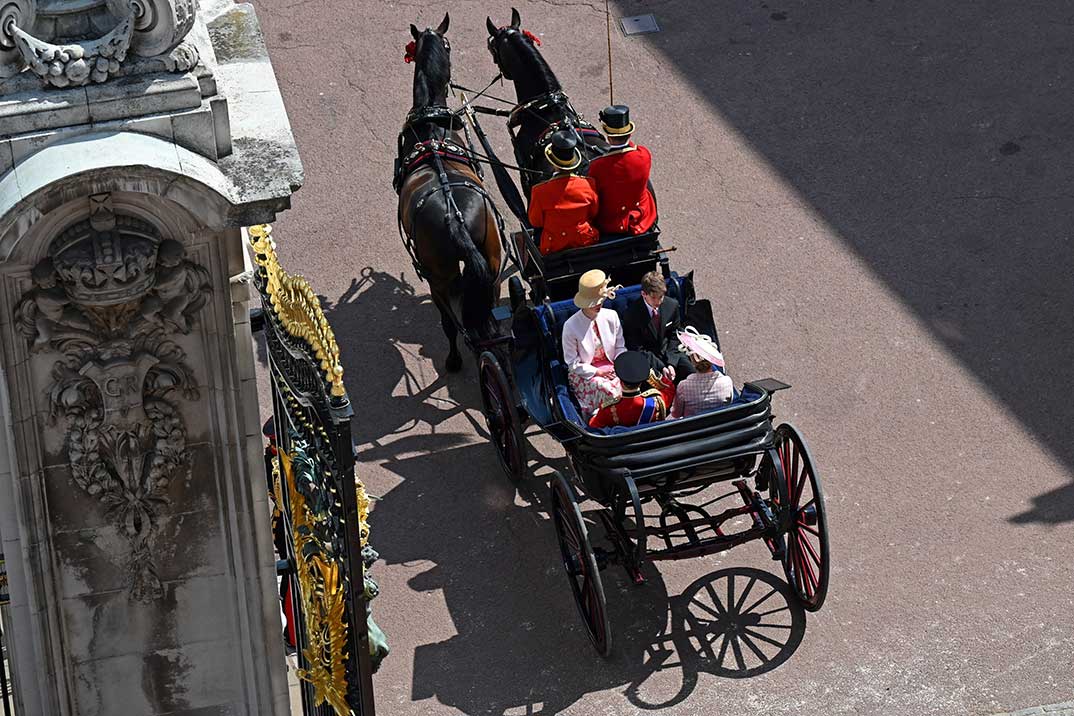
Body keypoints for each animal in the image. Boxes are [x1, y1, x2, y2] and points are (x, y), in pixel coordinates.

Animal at [399, 14, 502, 373]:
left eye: (446, 45)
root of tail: (456, 219)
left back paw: (457, 359)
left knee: (451, 322)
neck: (431, 127)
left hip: (437, 277)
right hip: (493, 261)